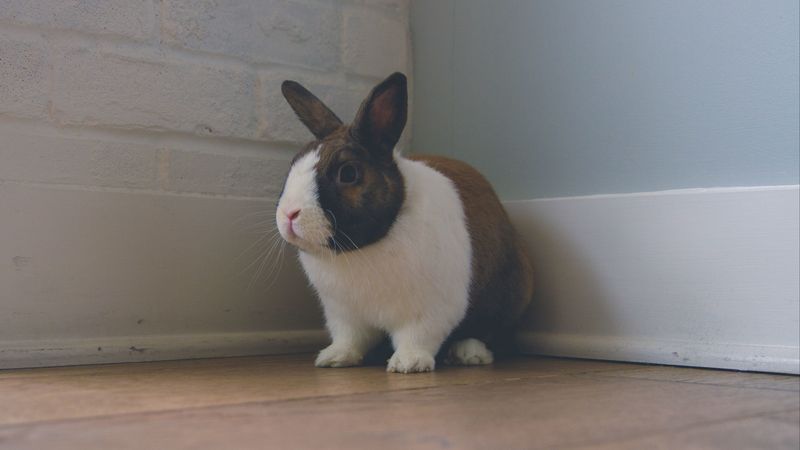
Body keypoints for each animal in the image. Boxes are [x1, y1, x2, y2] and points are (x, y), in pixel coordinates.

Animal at [276, 72, 533, 373]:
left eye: (348, 173)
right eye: (292, 165)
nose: (289, 214)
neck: (362, 249)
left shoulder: (431, 310)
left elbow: (417, 336)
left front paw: (408, 364)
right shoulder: (344, 314)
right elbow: (349, 338)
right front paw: (334, 357)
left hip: (506, 299)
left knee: (488, 332)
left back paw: (469, 354)